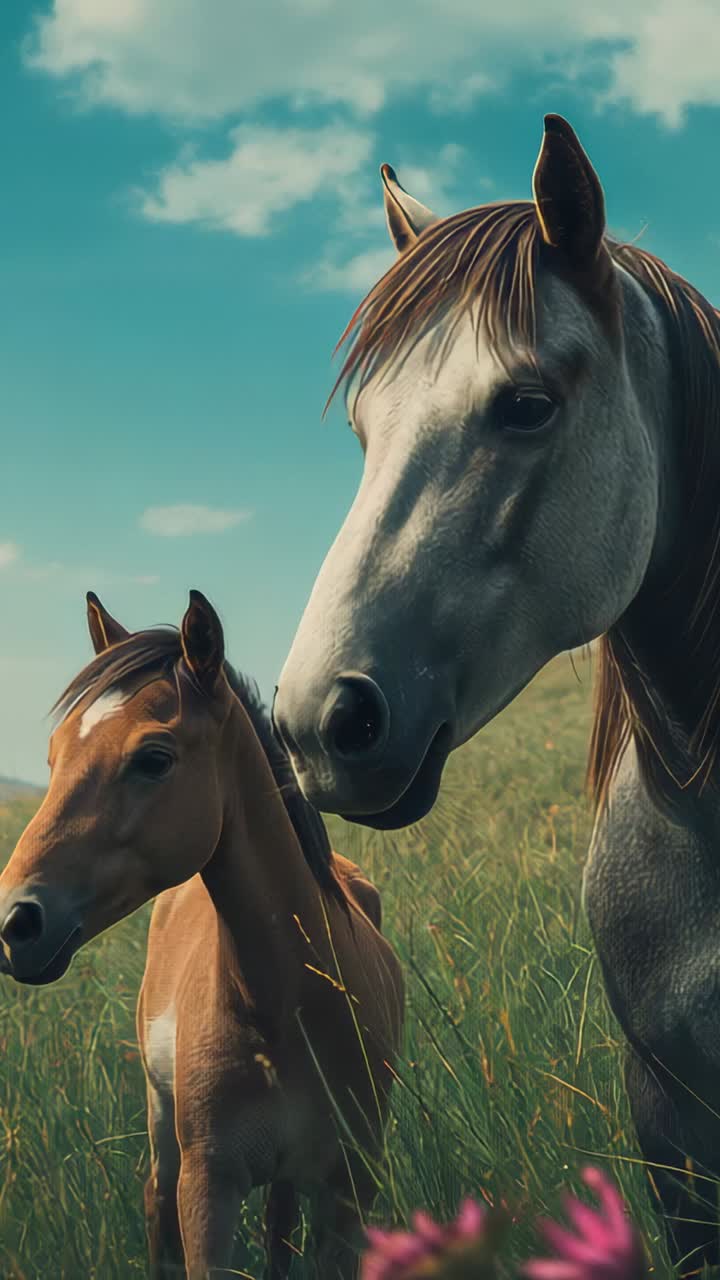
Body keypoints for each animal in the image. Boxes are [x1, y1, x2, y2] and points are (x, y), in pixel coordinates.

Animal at [0, 590, 404, 1279]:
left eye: (153, 758)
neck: (289, 1008)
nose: (14, 922)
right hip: (166, 1135)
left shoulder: (350, 1192)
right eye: (53, 757)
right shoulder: (208, 1189)